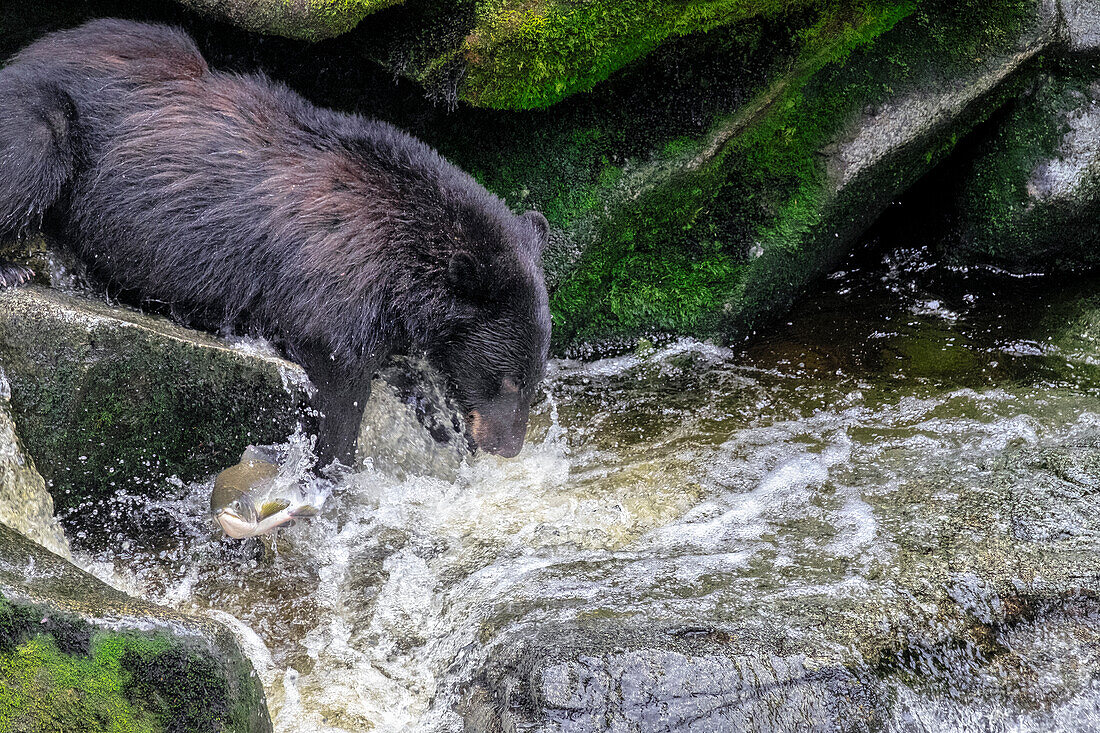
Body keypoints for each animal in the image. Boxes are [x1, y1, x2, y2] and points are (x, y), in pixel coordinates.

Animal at [0, 21, 550, 462]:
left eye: (535, 376)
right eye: (509, 379)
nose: (507, 448)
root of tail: (22, 53)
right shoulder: (335, 277)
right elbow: (340, 375)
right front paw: (333, 463)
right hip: (48, 116)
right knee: (35, 145)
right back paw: (13, 269)